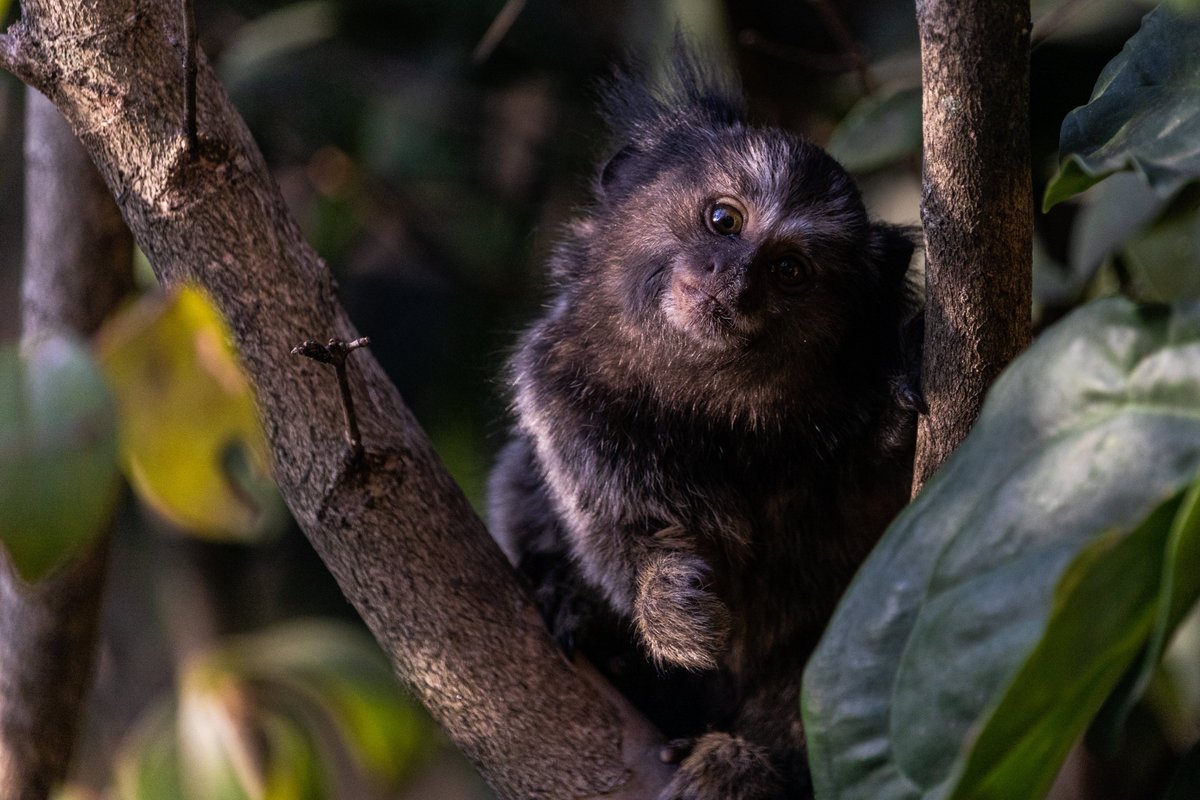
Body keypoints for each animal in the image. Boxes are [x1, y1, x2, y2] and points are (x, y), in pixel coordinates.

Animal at [487, 47, 921, 800]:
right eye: (723, 219)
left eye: (789, 270)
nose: (735, 280)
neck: (712, 417)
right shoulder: (562, 398)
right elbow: (618, 539)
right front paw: (670, 599)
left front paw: (895, 419)